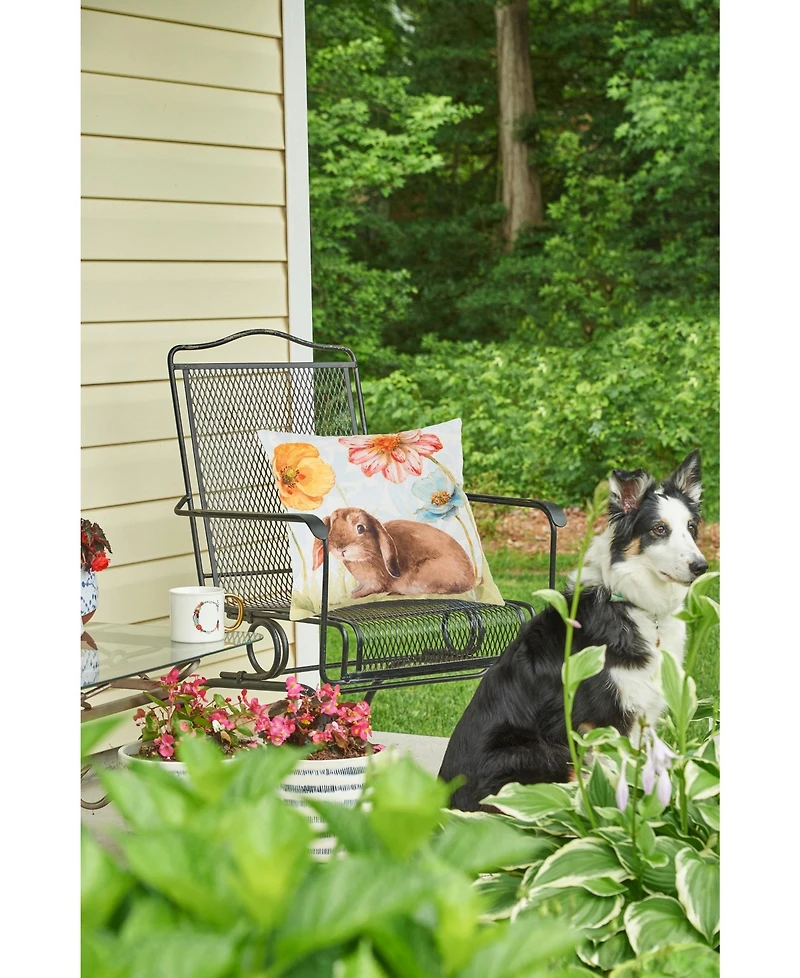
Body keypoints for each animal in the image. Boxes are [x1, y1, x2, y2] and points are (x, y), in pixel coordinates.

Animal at [311, 507, 476, 599]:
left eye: (360, 528)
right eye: (331, 527)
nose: (341, 548)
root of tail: (471, 581)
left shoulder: (375, 583)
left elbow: (369, 589)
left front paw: (355, 595)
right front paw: (354, 591)